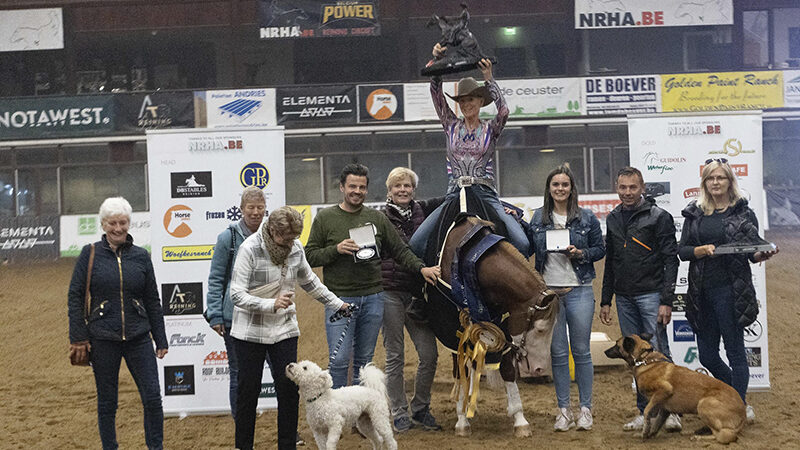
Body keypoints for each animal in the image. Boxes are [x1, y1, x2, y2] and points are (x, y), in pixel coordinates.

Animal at [422, 214, 560, 436]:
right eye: (540, 329)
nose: (539, 369)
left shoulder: (503, 328)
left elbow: (507, 369)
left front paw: (520, 420)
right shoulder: (452, 332)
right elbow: (460, 370)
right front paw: (462, 420)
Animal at [608, 332, 748, 444]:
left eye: (616, 345)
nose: (605, 351)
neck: (644, 360)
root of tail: (743, 413)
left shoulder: (664, 390)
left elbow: (647, 411)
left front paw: (645, 431)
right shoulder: (664, 409)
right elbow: (656, 424)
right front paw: (648, 434)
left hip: (704, 404)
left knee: (722, 435)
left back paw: (697, 437)